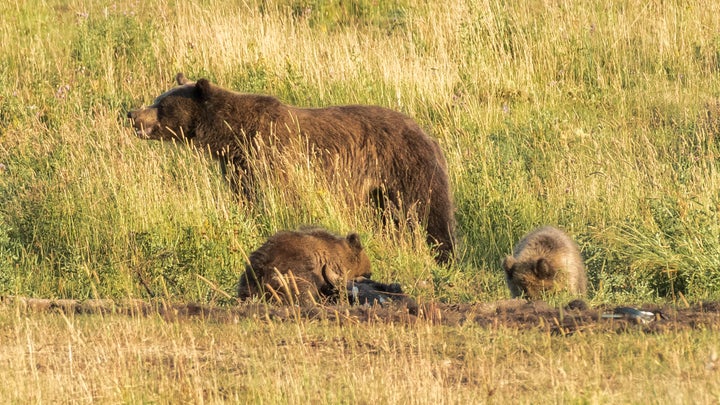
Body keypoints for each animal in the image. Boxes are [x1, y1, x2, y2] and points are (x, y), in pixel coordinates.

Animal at [128, 73, 456, 262]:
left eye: (161, 104)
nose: (132, 113)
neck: (233, 135)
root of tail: (426, 133)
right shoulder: (240, 166)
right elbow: (247, 198)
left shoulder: (274, 154)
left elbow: (281, 198)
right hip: (380, 192)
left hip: (406, 168)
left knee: (428, 211)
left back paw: (444, 254)